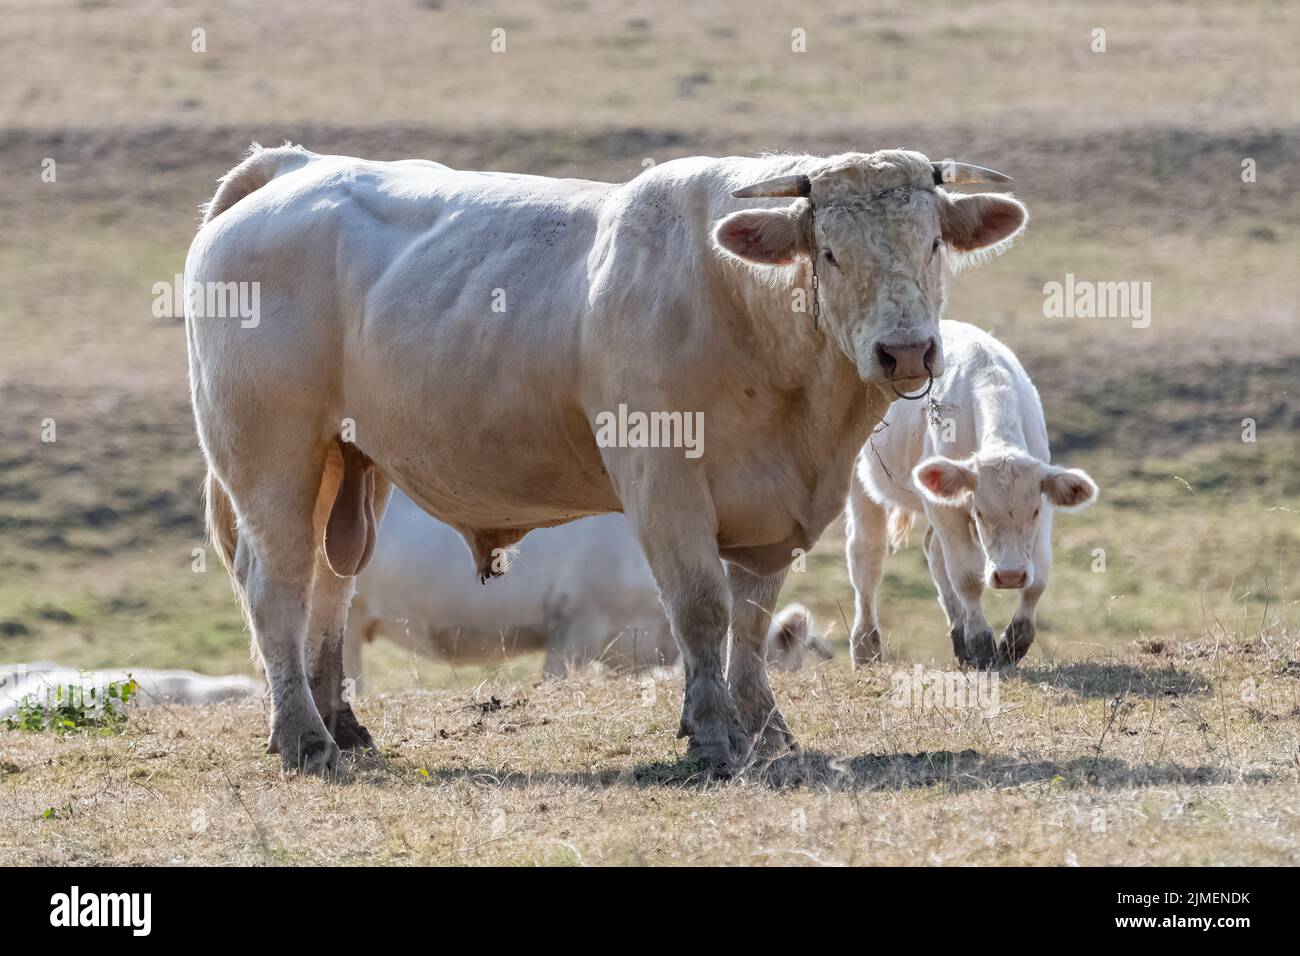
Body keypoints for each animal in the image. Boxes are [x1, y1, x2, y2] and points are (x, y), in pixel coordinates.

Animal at [846, 320, 1098, 669]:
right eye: (981, 513)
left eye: (1033, 512)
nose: (1010, 576)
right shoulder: (945, 508)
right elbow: (967, 575)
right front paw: (980, 643)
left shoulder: (1044, 500)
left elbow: (1039, 576)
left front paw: (1013, 642)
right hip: (861, 485)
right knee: (867, 558)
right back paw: (866, 649)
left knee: (934, 553)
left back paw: (958, 635)